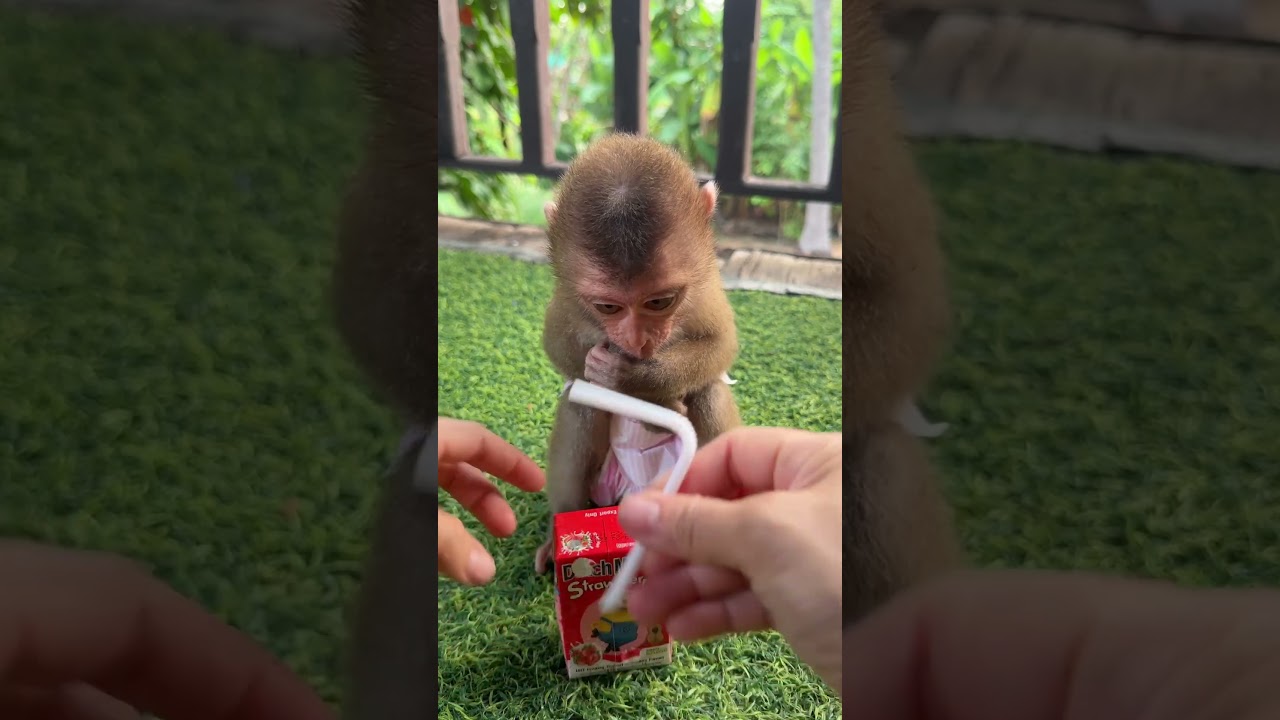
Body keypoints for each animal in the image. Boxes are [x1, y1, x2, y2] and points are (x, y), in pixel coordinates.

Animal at [534, 133, 742, 573]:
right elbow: (557, 343)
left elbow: (719, 344)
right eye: (608, 307)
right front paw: (619, 381)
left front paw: (630, 381)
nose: (636, 340)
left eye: (660, 302)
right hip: (604, 487)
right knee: (580, 406)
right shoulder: (568, 298)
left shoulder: (704, 283)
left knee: (708, 390)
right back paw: (560, 527)